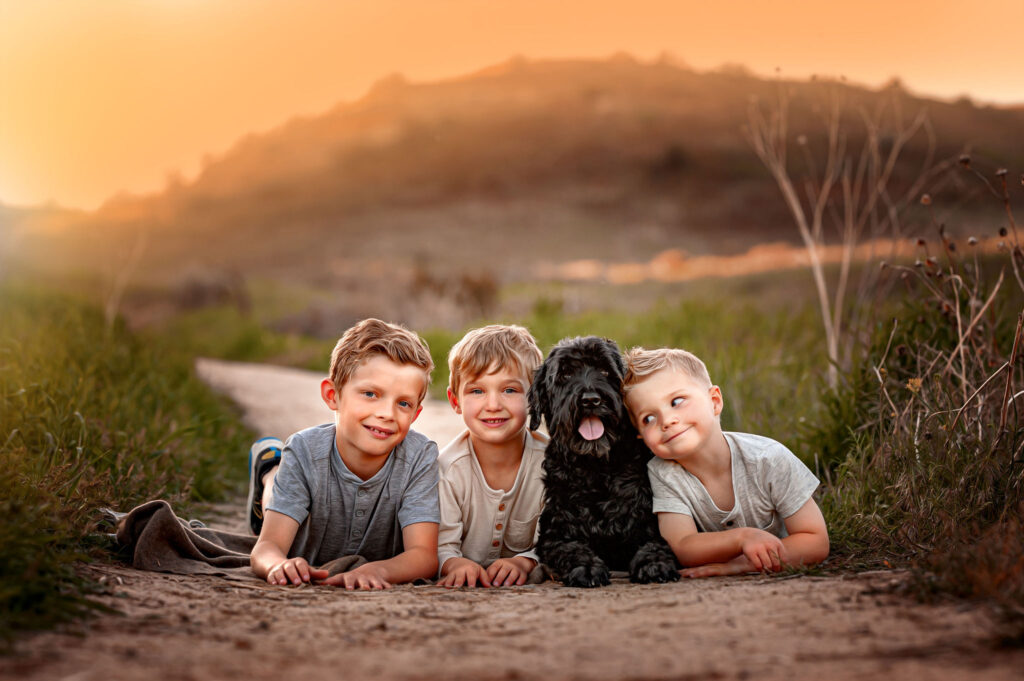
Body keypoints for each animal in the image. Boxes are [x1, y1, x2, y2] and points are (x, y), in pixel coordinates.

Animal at [528, 333, 679, 585]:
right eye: (565, 374)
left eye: (605, 371)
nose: (591, 400)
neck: (596, 468)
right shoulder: (555, 534)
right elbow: (571, 549)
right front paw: (587, 567)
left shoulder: (649, 523)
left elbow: (656, 543)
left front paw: (655, 563)